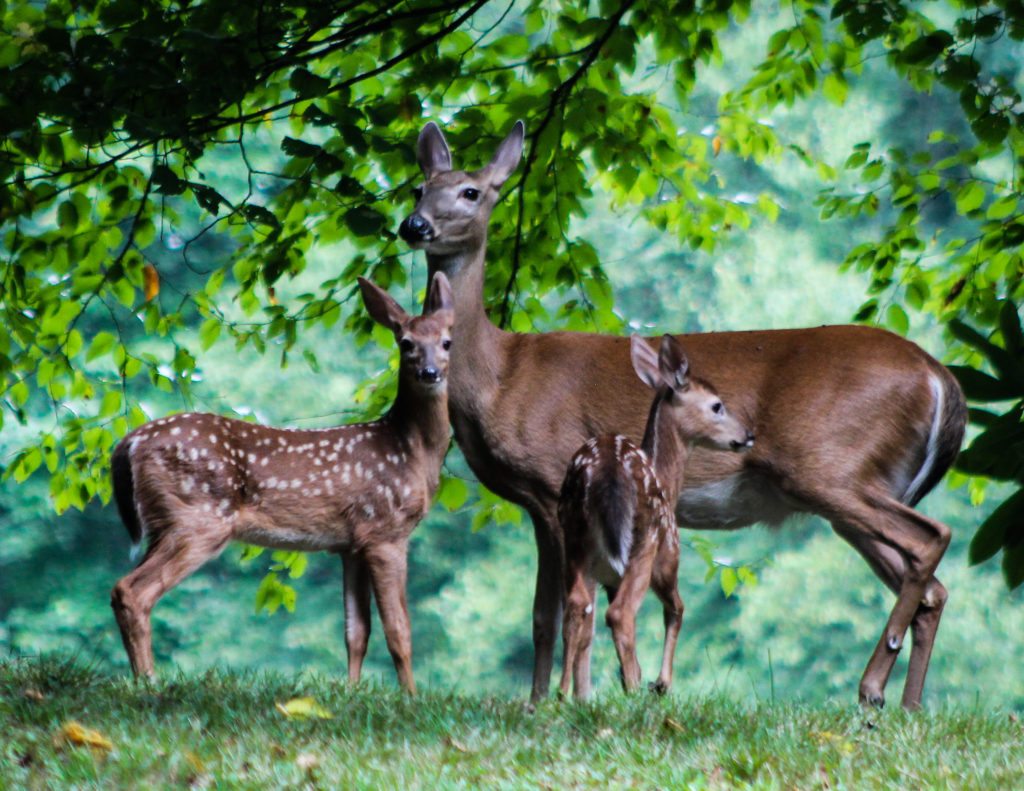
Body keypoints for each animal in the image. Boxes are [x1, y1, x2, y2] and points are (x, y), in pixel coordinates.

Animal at [108, 272, 455, 693]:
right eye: (406, 343)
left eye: (447, 342)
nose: (430, 373)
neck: (410, 450)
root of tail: (130, 442)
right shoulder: (385, 530)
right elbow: (399, 631)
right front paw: (410, 697)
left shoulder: (351, 544)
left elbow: (356, 632)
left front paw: (352, 692)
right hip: (198, 518)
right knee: (133, 591)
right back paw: (150, 681)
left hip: (164, 523)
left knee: (123, 589)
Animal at [559, 334, 754, 700]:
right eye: (717, 405)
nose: (749, 434)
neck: (666, 479)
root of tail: (605, 470)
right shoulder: (668, 558)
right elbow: (676, 609)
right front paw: (659, 683)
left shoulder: (609, 577)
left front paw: (628, 680)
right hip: (645, 539)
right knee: (621, 614)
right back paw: (635, 693)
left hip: (574, 536)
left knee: (577, 606)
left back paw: (563, 694)